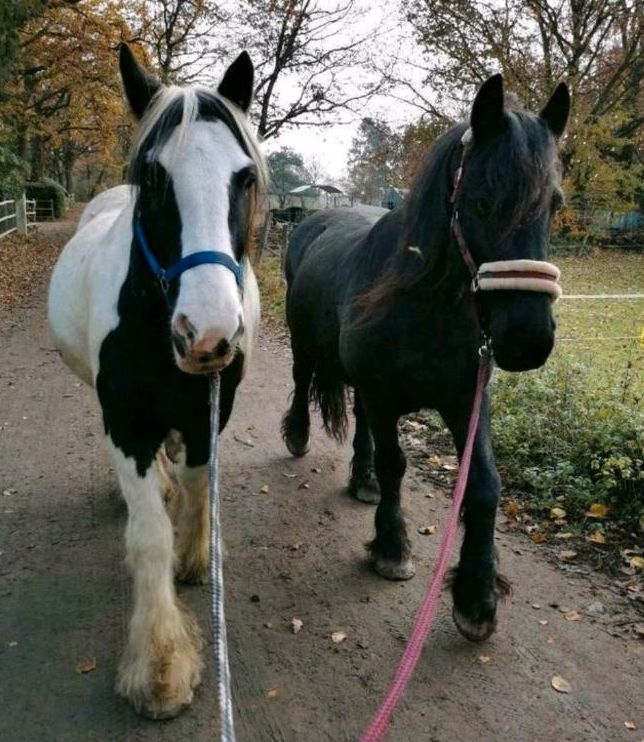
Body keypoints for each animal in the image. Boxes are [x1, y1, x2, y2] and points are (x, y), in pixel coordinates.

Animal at [46, 45, 266, 720]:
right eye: (155, 176)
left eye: (244, 176)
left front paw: (196, 556)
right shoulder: (125, 420)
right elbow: (148, 538)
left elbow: (198, 486)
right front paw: (161, 666)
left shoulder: (210, 408)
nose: (209, 330)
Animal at [282, 77, 568, 644]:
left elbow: (483, 485)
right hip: (306, 349)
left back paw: (362, 479)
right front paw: (392, 548)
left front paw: (477, 595)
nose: (529, 339)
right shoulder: (384, 394)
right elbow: (397, 463)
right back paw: (300, 436)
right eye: (481, 199)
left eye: (554, 203)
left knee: (362, 425)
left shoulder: (465, 400)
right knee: (304, 383)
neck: (424, 306)